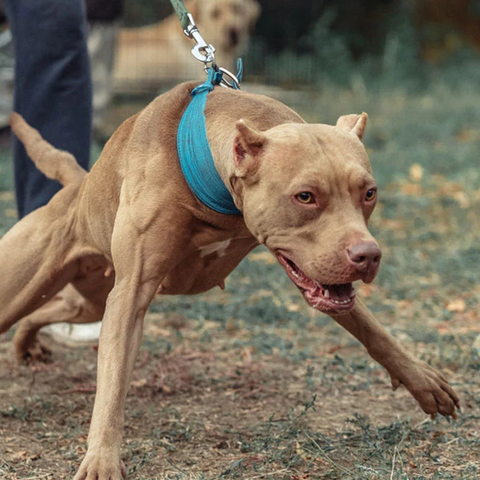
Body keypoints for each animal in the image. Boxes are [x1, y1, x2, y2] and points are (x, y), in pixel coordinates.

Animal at [0, 81, 460, 476]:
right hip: (35, 289)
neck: (210, 183)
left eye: (369, 193)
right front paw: (102, 460)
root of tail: (79, 186)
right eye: (305, 196)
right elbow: (112, 386)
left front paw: (421, 380)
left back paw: (27, 342)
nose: (368, 256)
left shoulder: (321, 272)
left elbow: (372, 329)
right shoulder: (129, 297)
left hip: (92, 300)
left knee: (51, 309)